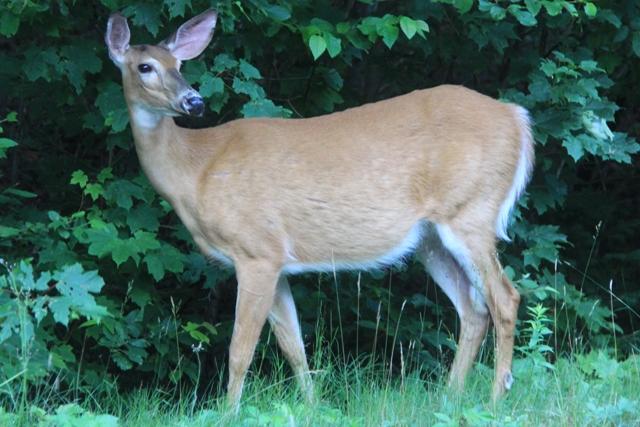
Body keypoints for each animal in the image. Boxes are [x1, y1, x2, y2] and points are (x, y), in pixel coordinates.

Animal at [105, 10, 534, 409]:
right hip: (430, 237)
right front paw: (312, 406)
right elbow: (294, 346)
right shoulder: (277, 262)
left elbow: (240, 350)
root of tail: (518, 118)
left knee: (505, 298)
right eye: (145, 66)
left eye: (179, 65)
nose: (193, 101)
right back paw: (451, 396)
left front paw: (228, 412)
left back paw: (496, 397)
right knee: (472, 308)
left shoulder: (257, 250)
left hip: (471, 210)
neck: (196, 169)